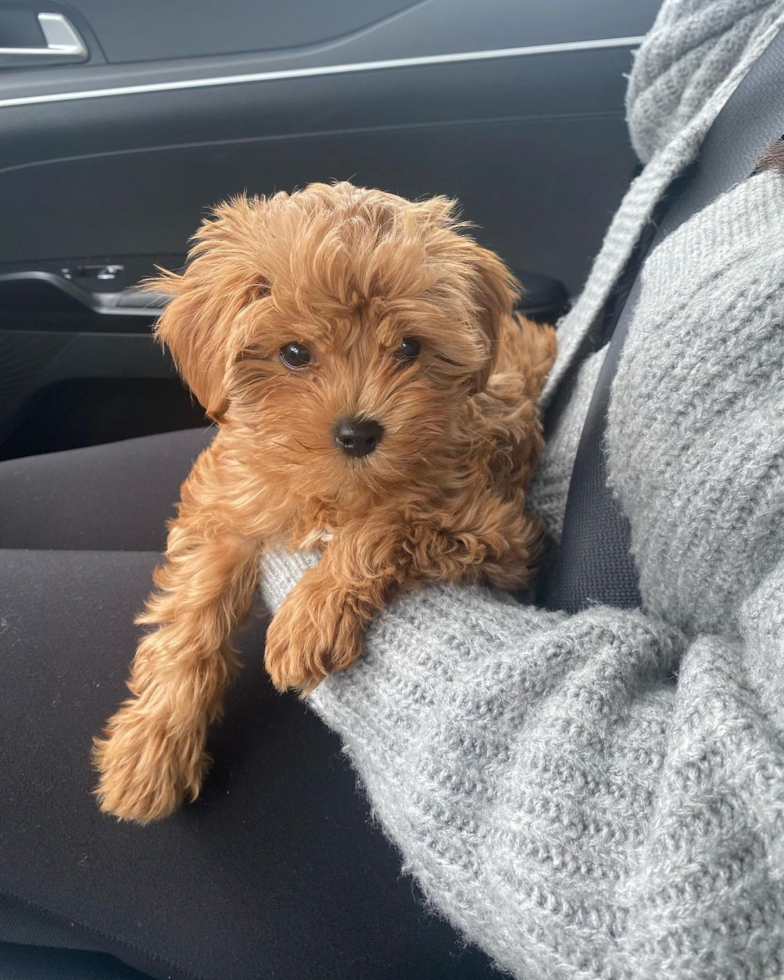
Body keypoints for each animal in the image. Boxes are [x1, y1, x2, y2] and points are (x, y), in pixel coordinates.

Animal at [93, 182, 556, 820]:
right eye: (293, 353)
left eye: (409, 347)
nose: (358, 432)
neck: (335, 488)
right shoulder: (228, 507)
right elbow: (191, 612)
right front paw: (151, 746)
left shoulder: (496, 529)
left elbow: (390, 523)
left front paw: (309, 618)